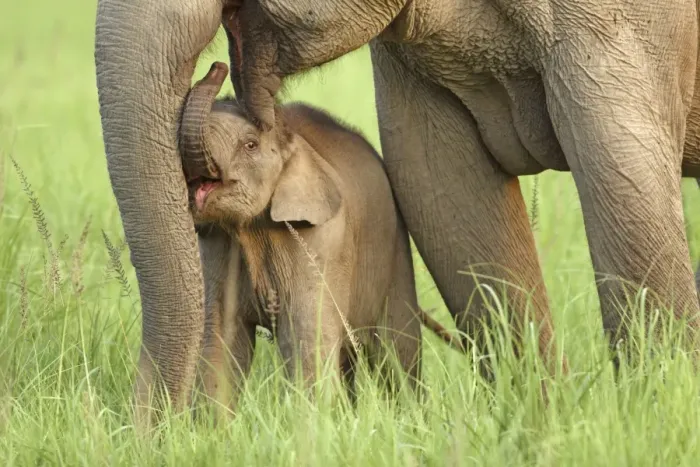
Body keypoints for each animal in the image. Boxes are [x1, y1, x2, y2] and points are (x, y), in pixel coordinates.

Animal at [181, 62, 462, 409]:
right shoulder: (218, 244)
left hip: (395, 249)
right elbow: (221, 339)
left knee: (395, 348)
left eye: (250, 145)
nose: (217, 66)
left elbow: (305, 337)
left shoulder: (321, 241)